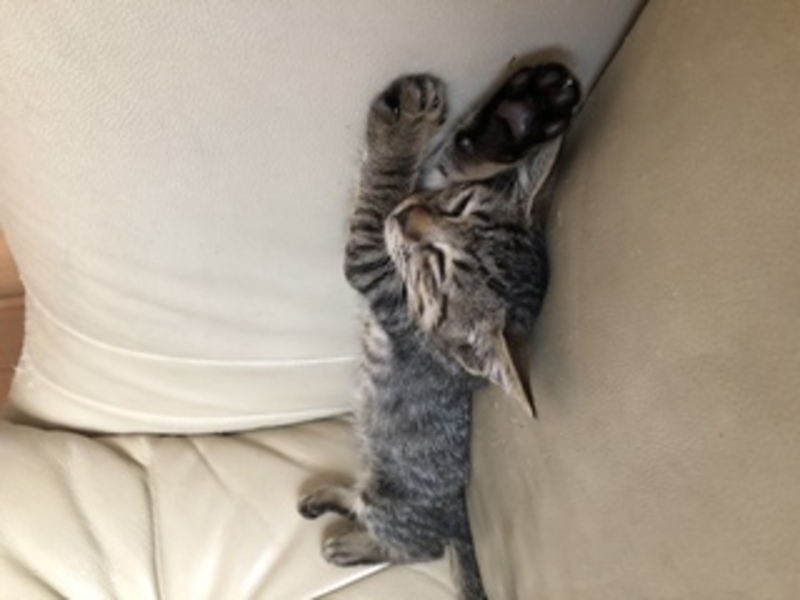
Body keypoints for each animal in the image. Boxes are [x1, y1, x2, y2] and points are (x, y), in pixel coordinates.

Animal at [298, 63, 581, 599]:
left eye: (436, 270)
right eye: (459, 206)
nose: (408, 216)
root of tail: (460, 521)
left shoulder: (373, 267)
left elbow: (376, 201)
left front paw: (401, 128)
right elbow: (446, 165)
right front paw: (520, 115)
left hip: (392, 503)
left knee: (411, 547)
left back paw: (347, 544)